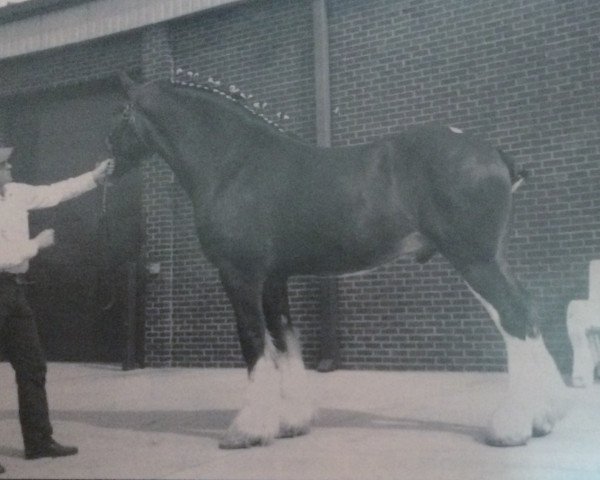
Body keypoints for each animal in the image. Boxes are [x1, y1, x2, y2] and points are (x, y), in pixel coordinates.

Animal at [109, 71, 568, 450]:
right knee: (528, 311)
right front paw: (292, 421)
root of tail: (493, 152)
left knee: (513, 318)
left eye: (121, 115)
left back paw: (512, 427)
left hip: (475, 259)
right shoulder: (275, 278)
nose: (107, 166)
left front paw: (248, 429)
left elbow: (253, 341)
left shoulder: (241, 275)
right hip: (491, 258)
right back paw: (544, 417)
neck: (234, 162)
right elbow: (285, 339)